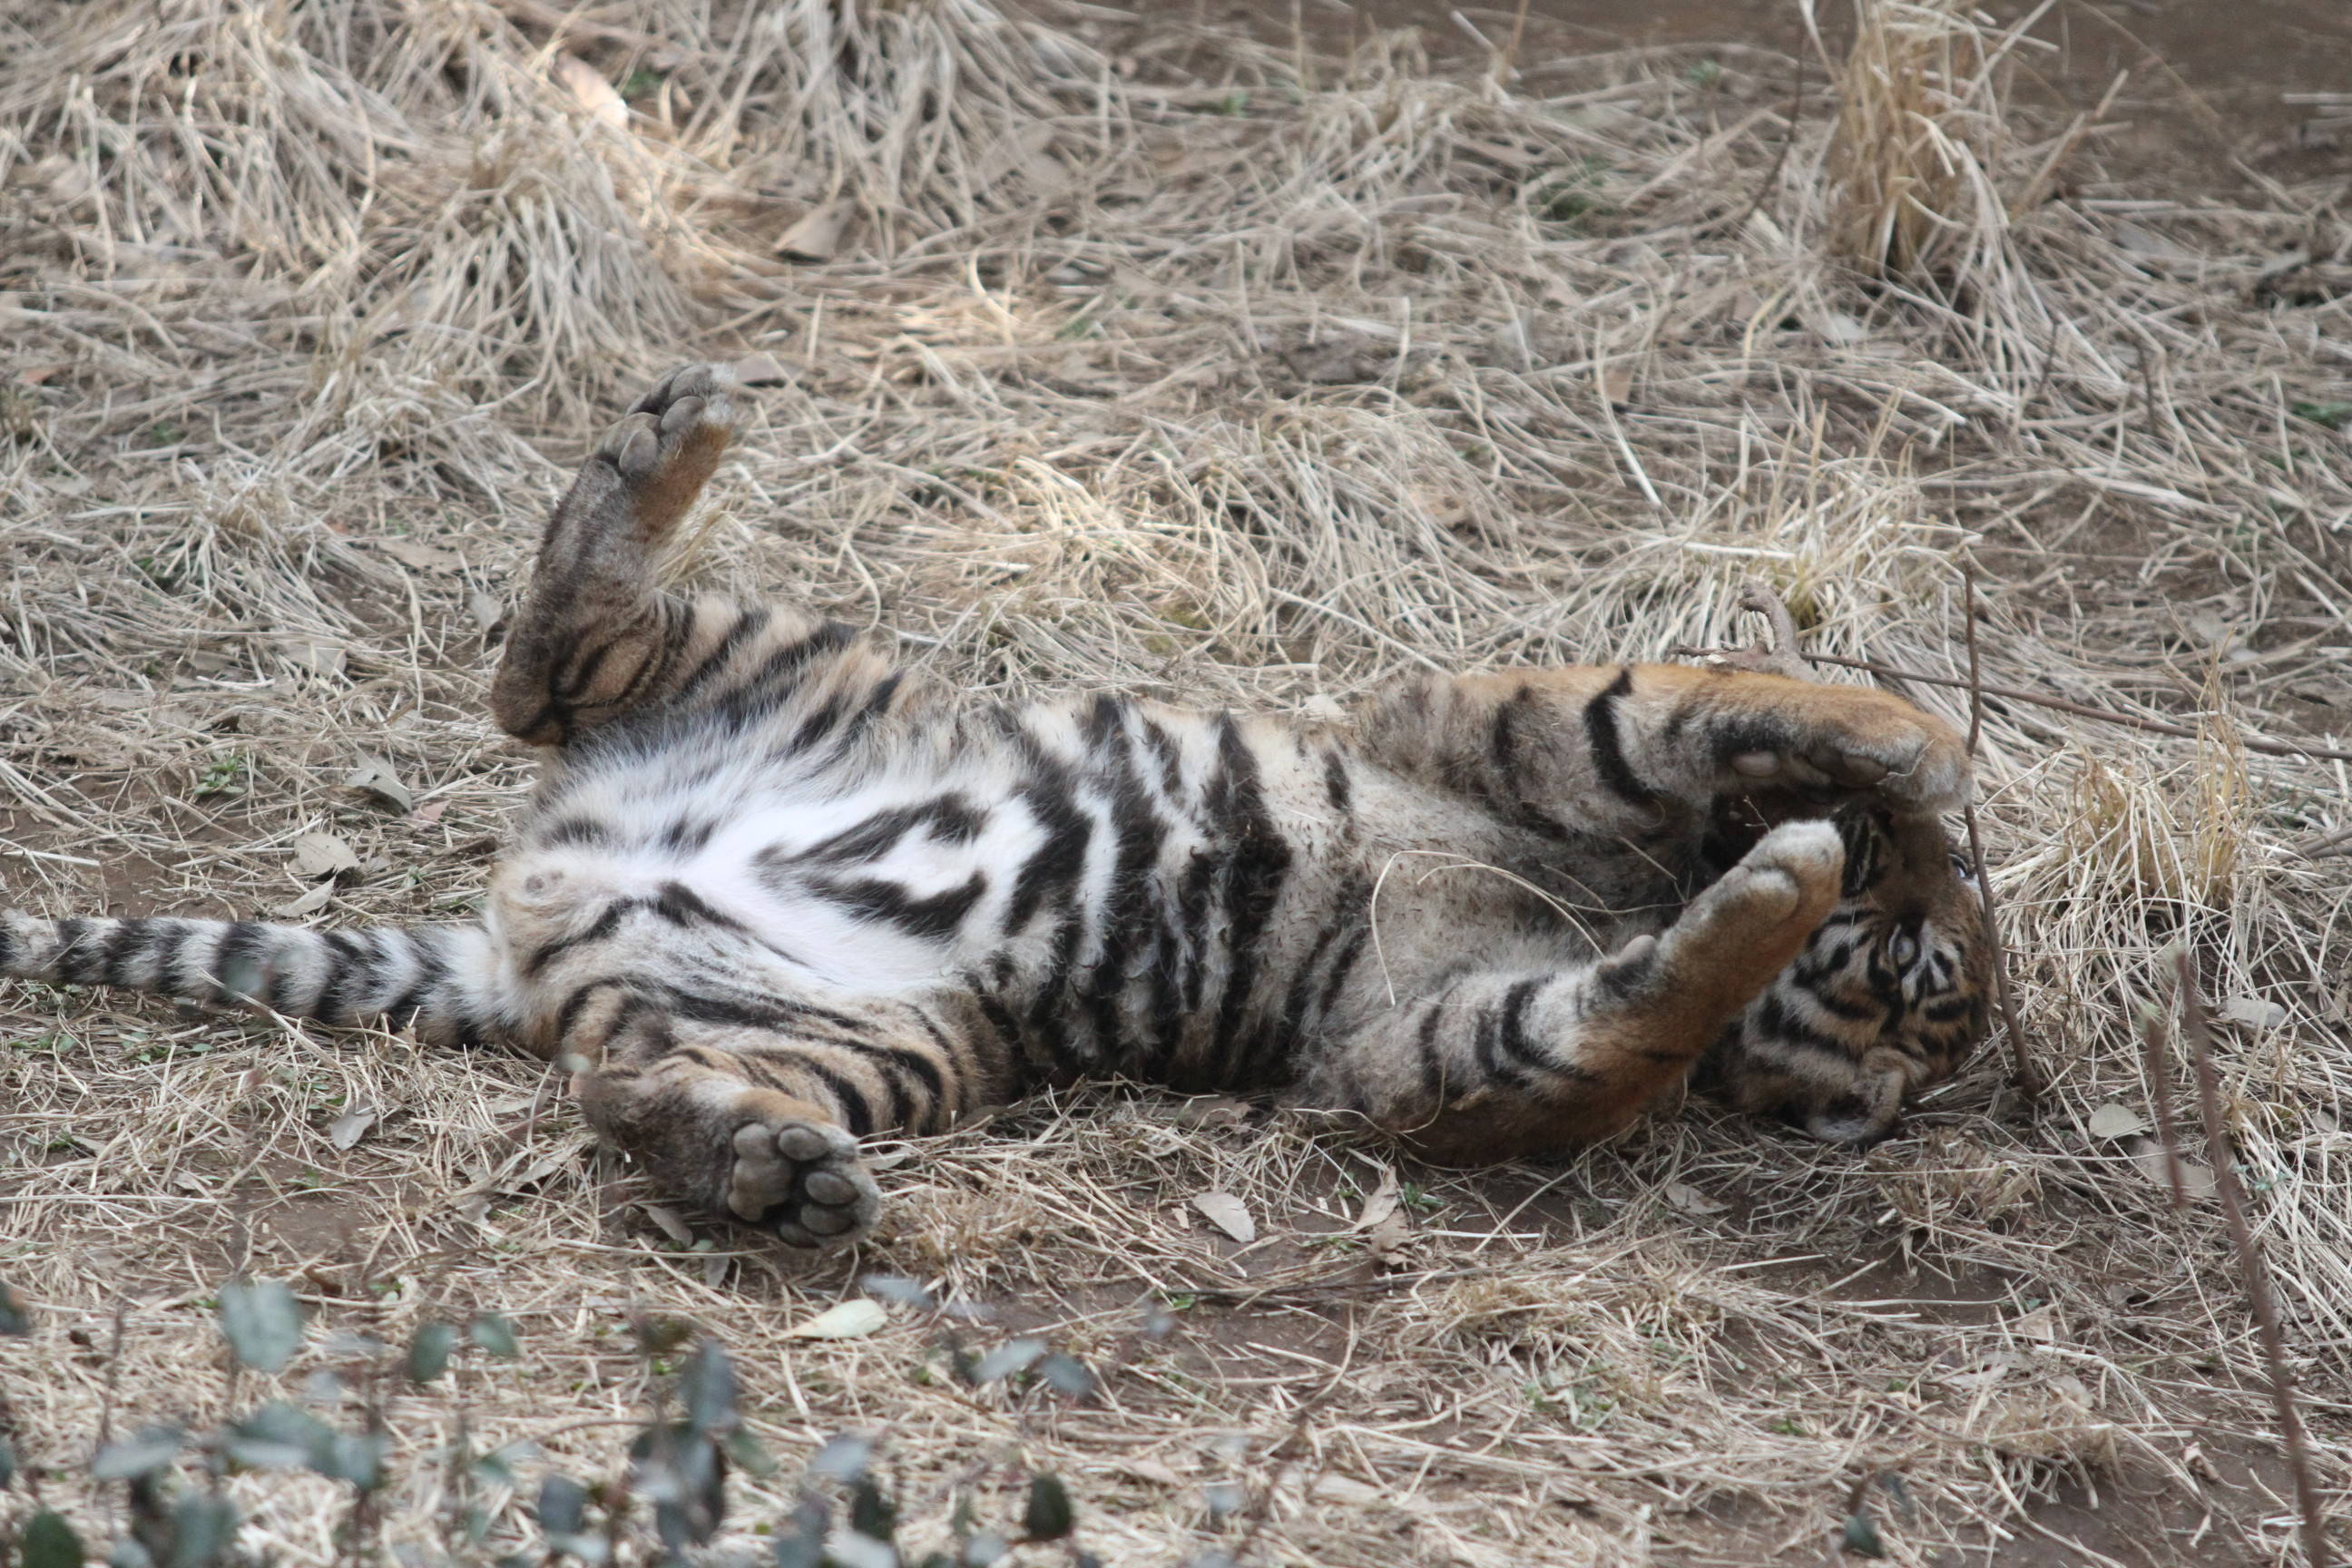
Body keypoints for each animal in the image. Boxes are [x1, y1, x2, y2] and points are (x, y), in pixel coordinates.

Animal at [0, 368, 1994, 1250]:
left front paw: (1771, 891)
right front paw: (1898, 773)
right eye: (1933, 998)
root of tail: (527, 917)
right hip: (801, 661)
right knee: (545, 660)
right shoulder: (1486, 727)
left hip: (868, 1031)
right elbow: (1715, 707)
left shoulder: (1425, 1051)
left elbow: (1615, 1017)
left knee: (631, 1085)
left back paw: (765, 1171)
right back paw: (668, 441)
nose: (1918, 1049)